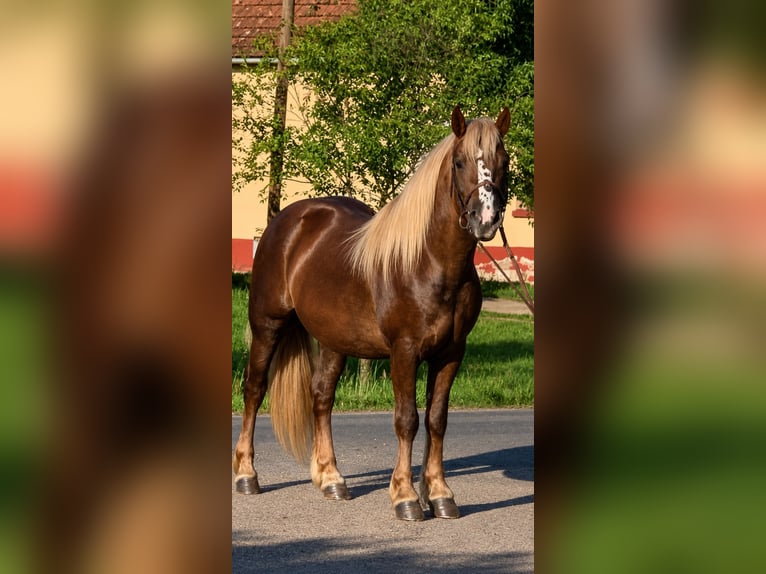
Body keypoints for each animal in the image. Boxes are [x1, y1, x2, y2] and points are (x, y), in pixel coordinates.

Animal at [233, 106, 511, 521]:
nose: (486, 218)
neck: (429, 262)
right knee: (254, 389)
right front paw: (406, 497)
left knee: (321, 395)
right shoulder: (404, 351)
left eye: (503, 161)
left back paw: (331, 479)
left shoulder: (451, 353)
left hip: (334, 339)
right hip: (268, 324)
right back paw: (247, 475)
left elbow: (437, 419)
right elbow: (407, 419)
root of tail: (288, 220)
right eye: (460, 162)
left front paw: (440, 494)